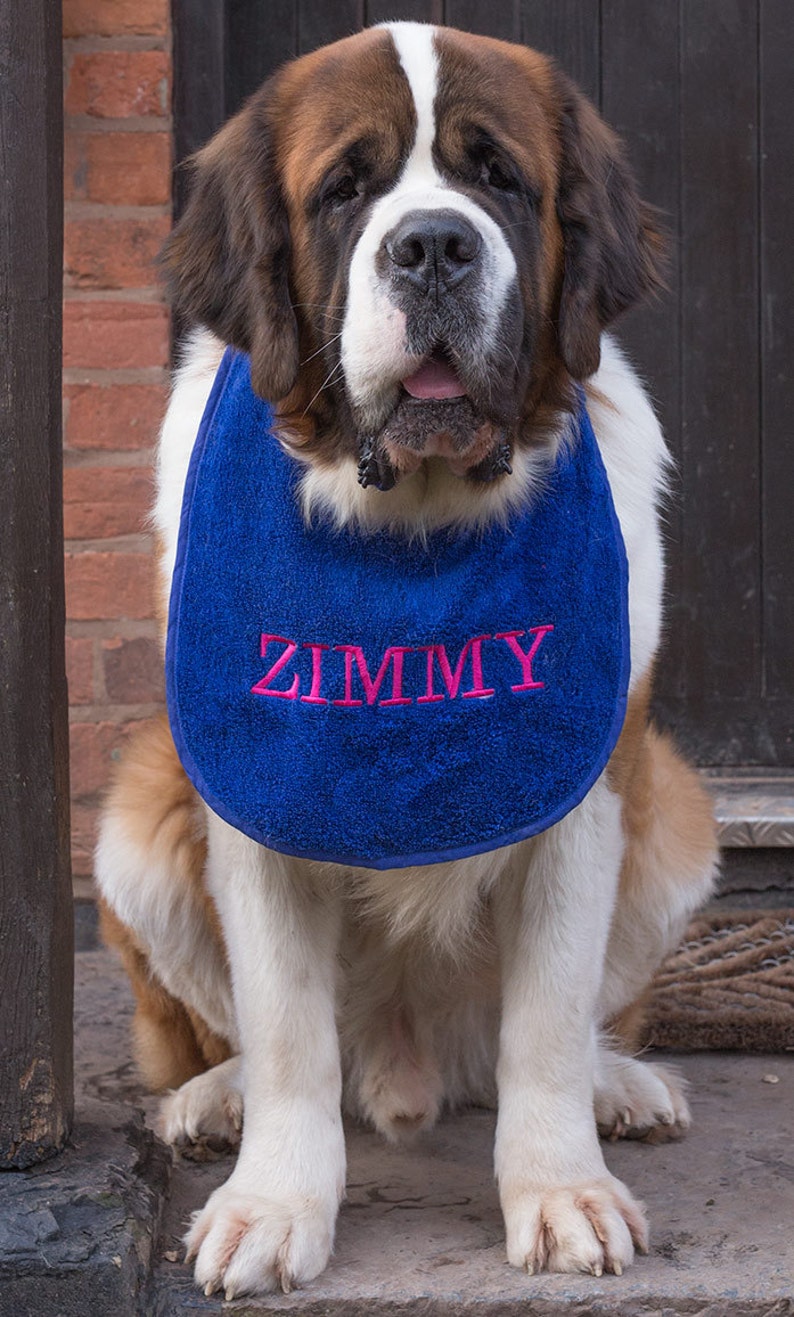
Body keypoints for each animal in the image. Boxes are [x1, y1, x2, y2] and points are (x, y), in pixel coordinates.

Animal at [94, 18, 721, 1295]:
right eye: (345, 188)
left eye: (498, 179)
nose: (432, 246)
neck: (412, 524)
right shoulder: (255, 799)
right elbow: (286, 1028)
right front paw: (273, 1205)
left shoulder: (589, 789)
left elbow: (544, 1021)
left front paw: (560, 1191)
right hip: (133, 818)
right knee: (256, 1042)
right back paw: (215, 1102)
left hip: (676, 813)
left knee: (554, 1031)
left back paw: (618, 1086)